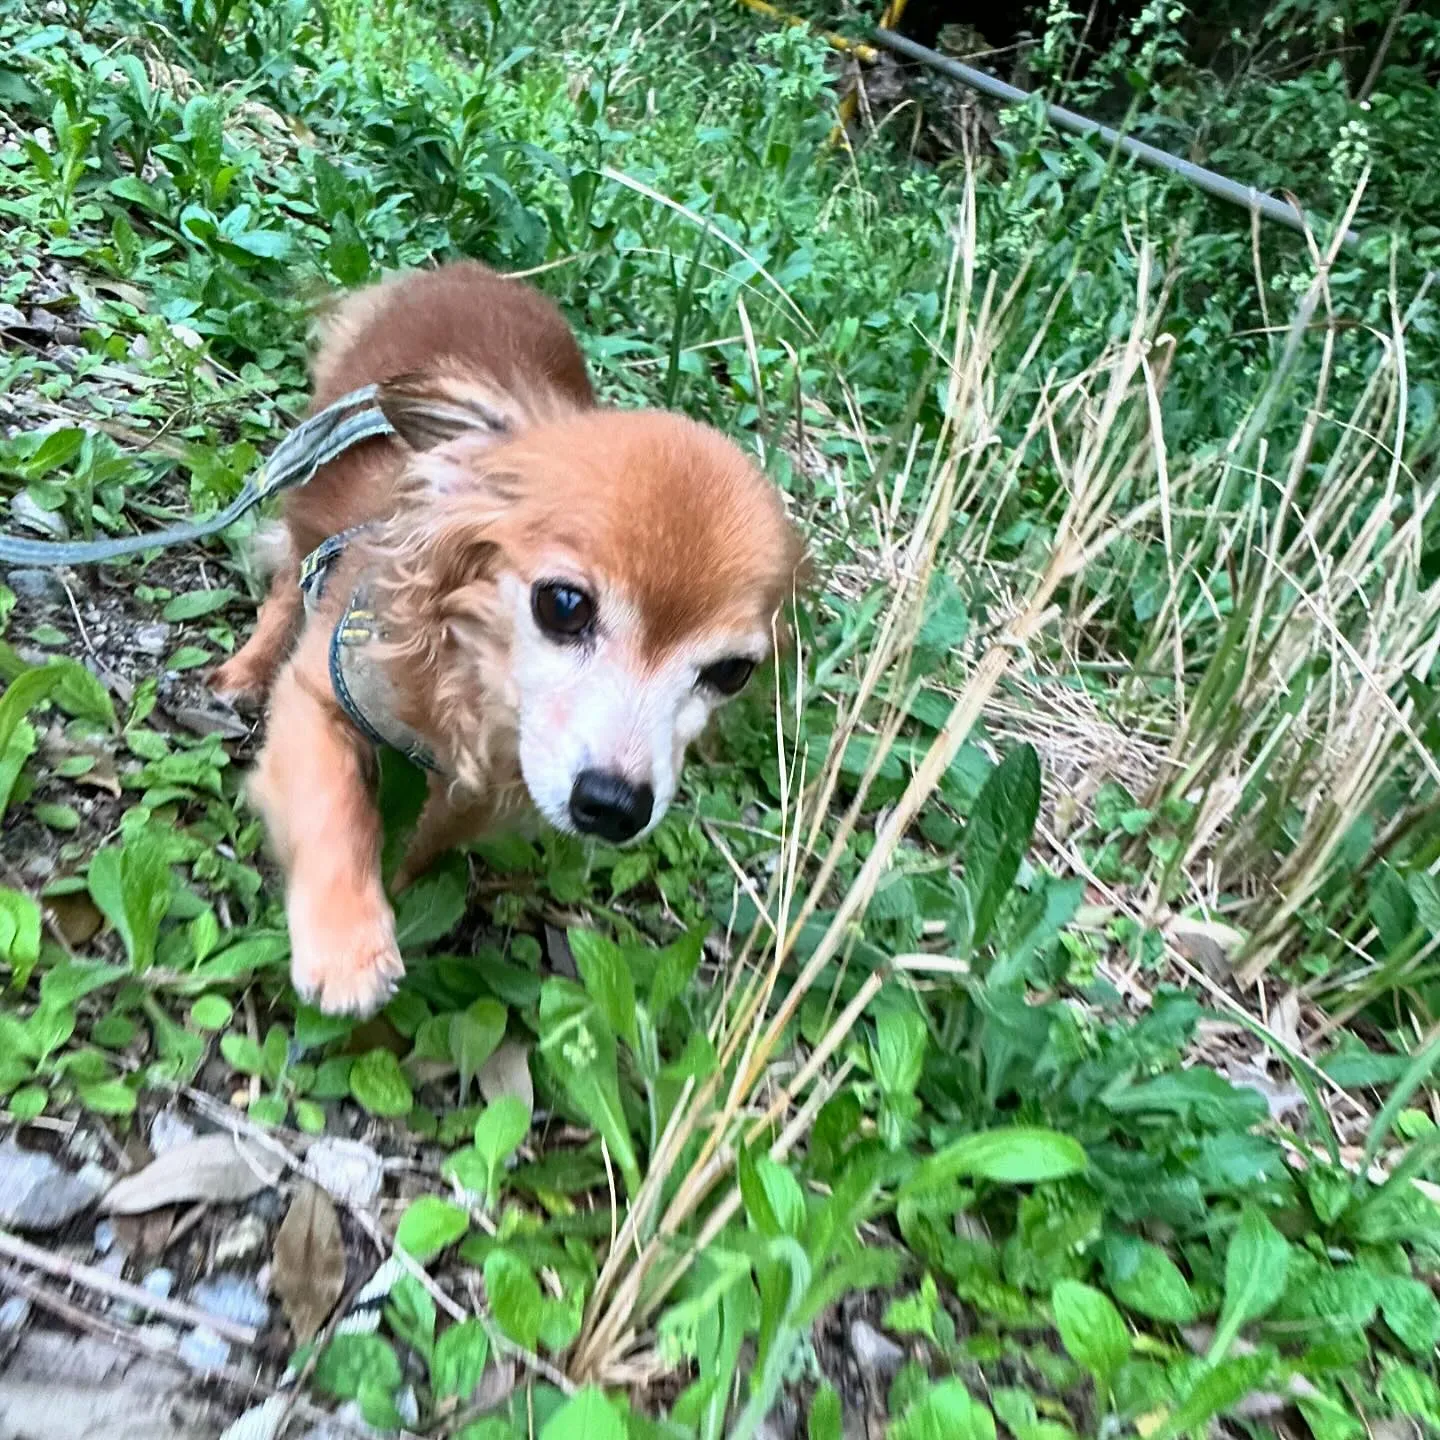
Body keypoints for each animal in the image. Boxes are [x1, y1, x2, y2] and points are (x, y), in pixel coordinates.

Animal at [210, 264, 806, 1019]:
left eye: (732, 672)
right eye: (564, 606)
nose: (615, 806)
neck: (473, 686)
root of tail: (476, 272)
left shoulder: (484, 795)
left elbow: (424, 845)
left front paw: (400, 896)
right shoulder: (326, 686)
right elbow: (335, 805)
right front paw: (349, 945)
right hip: (309, 493)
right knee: (290, 576)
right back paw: (245, 669)